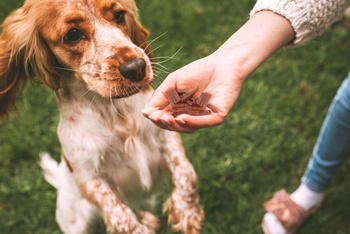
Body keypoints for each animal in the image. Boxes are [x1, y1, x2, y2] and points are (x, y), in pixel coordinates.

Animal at [0, 0, 204, 232]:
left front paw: (187, 213)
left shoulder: (165, 137)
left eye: (119, 16)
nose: (137, 67)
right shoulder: (90, 177)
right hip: (75, 222)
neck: (113, 111)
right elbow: (120, 216)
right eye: (73, 34)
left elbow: (187, 173)